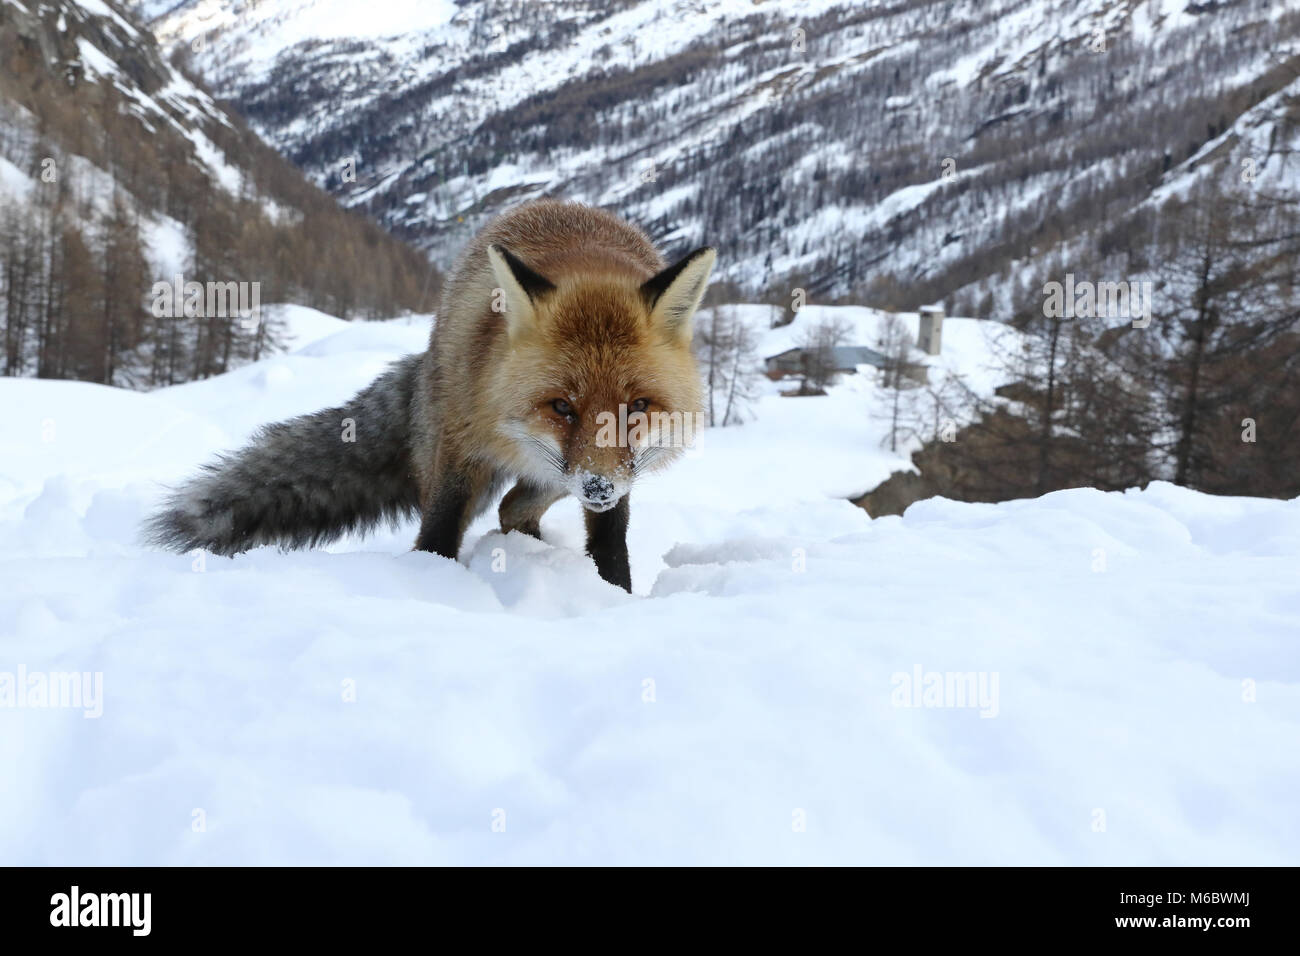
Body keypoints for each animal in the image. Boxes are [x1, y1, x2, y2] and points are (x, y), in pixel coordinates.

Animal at [147, 201, 717, 590]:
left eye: (637, 407)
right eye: (561, 406)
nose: (597, 486)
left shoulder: (619, 478)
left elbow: (610, 544)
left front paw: (615, 596)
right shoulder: (461, 447)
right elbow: (438, 530)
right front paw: (432, 587)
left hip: (569, 475)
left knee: (514, 505)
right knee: (504, 504)